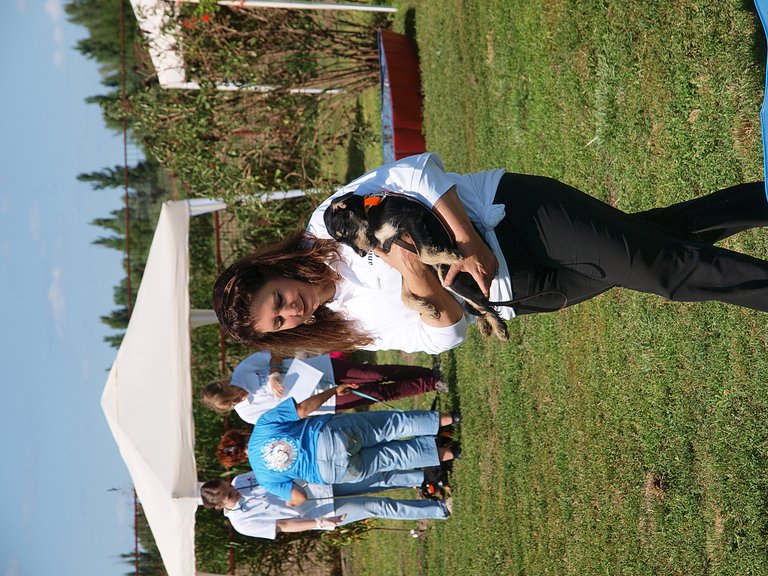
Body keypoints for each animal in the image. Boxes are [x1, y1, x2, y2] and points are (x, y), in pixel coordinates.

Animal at [323, 191, 509, 341]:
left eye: (345, 231)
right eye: (342, 241)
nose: (362, 254)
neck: (369, 213)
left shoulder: (410, 220)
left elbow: (424, 254)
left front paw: (451, 256)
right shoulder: (401, 257)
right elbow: (403, 296)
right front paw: (427, 310)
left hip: (449, 276)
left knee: (484, 304)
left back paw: (499, 328)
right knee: (479, 302)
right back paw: (485, 324)